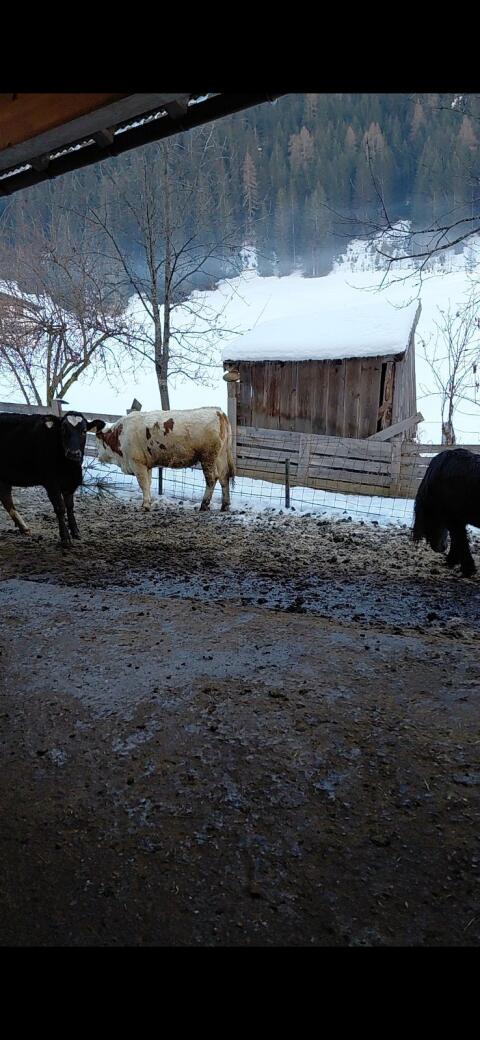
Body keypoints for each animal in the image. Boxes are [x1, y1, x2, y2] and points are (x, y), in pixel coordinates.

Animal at [0, 411, 105, 547]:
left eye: (84, 431)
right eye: (63, 429)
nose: (73, 453)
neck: (69, 468)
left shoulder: (70, 483)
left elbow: (70, 506)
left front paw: (75, 531)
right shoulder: (51, 482)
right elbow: (60, 508)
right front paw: (65, 538)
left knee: (6, 499)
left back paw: (24, 528)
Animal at [94, 407, 235, 512]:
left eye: (98, 443)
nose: (98, 456)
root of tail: (218, 412)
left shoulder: (137, 463)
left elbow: (143, 484)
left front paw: (145, 505)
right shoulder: (146, 465)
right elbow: (148, 483)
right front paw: (147, 502)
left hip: (208, 457)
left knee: (212, 479)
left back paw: (204, 505)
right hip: (220, 457)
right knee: (224, 477)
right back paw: (225, 505)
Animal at [412, 447, 480, 577]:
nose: (441, 548)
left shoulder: (452, 518)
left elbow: (460, 541)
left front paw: (467, 569)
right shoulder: (457, 519)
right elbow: (457, 540)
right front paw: (452, 561)